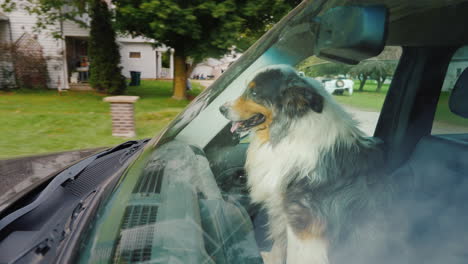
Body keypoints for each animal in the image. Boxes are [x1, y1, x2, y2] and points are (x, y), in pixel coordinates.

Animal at [219, 64, 384, 264]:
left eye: (255, 92)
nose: (221, 109)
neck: (291, 131)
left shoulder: (304, 223)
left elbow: (295, 254)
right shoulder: (281, 208)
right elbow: (279, 239)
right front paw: (271, 258)